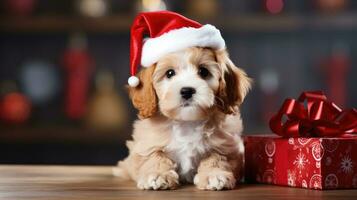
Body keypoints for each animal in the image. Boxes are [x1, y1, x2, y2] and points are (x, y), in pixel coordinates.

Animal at [114, 46, 250, 191]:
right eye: (169, 73)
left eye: (203, 71)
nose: (187, 91)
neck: (186, 122)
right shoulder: (146, 144)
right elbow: (154, 156)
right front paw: (158, 174)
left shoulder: (226, 146)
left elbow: (217, 157)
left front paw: (215, 175)